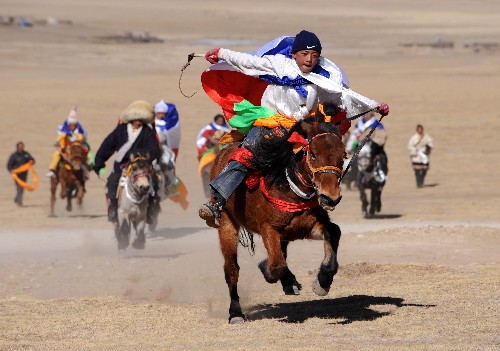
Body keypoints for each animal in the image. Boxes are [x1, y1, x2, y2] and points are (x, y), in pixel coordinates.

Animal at [209, 115, 346, 324]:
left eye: (343, 156)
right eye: (313, 154)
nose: (330, 197)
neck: (289, 188)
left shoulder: (308, 226)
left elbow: (334, 231)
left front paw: (322, 282)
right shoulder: (268, 229)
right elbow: (275, 266)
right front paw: (266, 268)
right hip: (226, 223)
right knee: (231, 269)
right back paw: (236, 313)